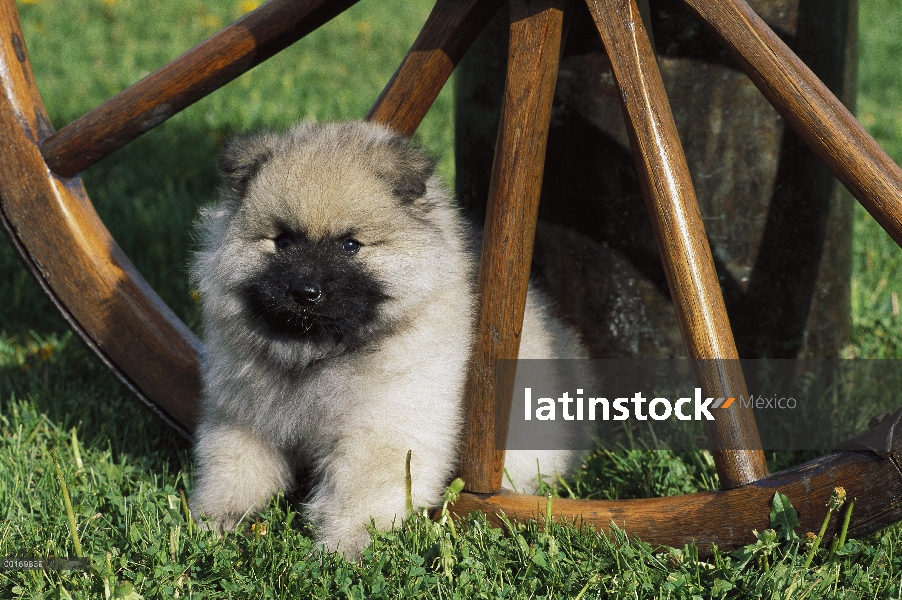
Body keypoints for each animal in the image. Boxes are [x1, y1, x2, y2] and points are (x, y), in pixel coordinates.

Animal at [188, 122, 588, 556]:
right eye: (284, 242)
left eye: (350, 245)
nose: (304, 291)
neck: (319, 355)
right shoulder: (244, 414)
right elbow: (234, 470)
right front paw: (218, 521)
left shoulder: (385, 425)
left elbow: (360, 492)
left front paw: (343, 545)